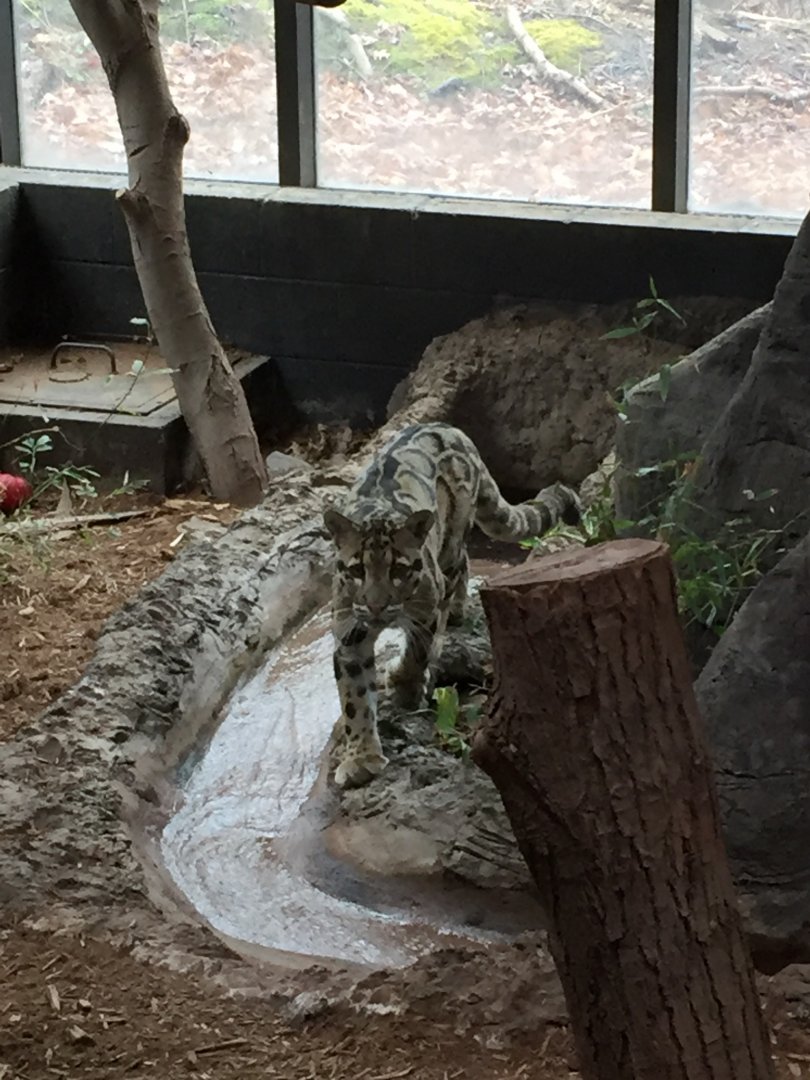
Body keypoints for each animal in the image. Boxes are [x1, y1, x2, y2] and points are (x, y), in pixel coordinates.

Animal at [323, 422, 581, 789]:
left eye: (399, 569)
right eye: (357, 569)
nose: (376, 606)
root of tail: (449, 428)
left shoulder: (426, 610)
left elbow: (417, 653)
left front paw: (405, 686)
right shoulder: (349, 632)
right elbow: (354, 697)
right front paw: (361, 757)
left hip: (452, 538)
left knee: (459, 564)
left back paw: (456, 611)